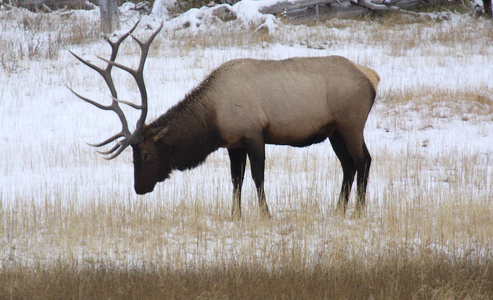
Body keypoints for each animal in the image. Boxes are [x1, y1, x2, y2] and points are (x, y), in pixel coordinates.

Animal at [68, 22, 376, 220]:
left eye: (145, 153)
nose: (139, 188)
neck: (212, 121)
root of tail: (372, 78)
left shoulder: (254, 133)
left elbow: (257, 176)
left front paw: (266, 215)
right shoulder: (233, 142)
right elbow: (235, 180)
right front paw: (234, 215)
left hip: (351, 122)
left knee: (363, 160)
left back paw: (359, 211)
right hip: (334, 130)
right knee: (348, 165)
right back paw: (338, 210)